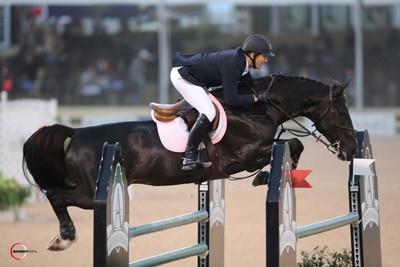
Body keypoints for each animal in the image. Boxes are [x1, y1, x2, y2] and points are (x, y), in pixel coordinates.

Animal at [23, 74, 358, 251]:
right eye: (342, 111)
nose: (352, 149)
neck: (259, 107)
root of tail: (76, 133)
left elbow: (291, 145)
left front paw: (266, 178)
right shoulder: (247, 155)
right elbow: (294, 143)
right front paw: (263, 178)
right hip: (91, 194)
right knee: (57, 196)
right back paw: (65, 237)